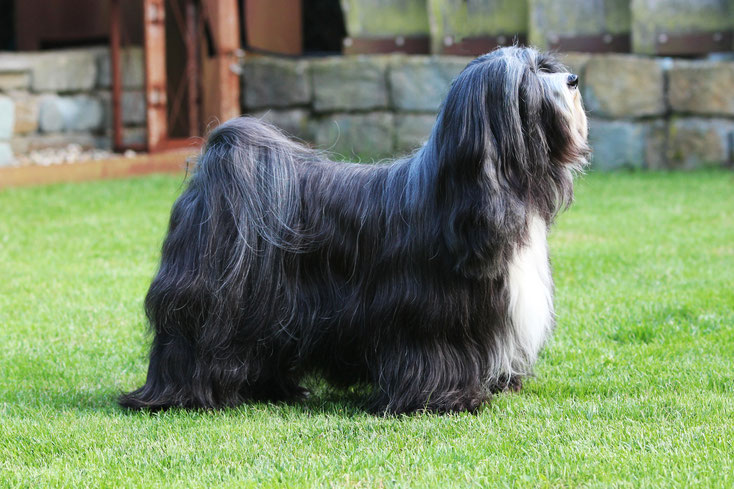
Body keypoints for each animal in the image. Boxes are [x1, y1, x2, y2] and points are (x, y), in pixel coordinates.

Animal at [122, 45, 592, 414]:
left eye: (545, 64)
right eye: (528, 79)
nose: (572, 79)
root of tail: (217, 165)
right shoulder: (427, 312)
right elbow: (434, 352)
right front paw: (447, 399)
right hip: (210, 302)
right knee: (186, 345)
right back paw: (182, 395)